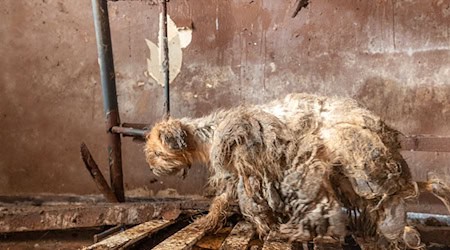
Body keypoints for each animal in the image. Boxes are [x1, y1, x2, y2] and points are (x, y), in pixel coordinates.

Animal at [145, 93, 450, 248]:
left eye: (157, 152)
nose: (152, 168)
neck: (210, 133)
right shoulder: (240, 175)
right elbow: (222, 202)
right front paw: (207, 223)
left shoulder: (250, 169)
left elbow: (250, 204)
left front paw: (268, 230)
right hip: (351, 176)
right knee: (404, 192)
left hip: (363, 169)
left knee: (394, 200)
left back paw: (406, 232)